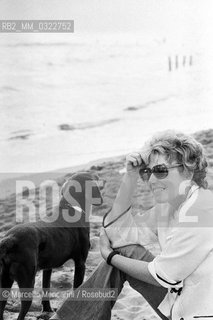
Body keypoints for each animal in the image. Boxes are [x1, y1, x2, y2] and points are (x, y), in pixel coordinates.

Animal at [0, 172, 103, 320]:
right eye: (93, 177)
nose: (100, 178)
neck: (71, 207)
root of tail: (10, 239)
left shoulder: (47, 268)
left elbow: (46, 288)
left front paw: (47, 310)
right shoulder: (80, 263)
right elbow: (76, 287)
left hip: (5, 280)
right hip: (27, 281)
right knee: (22, 312)